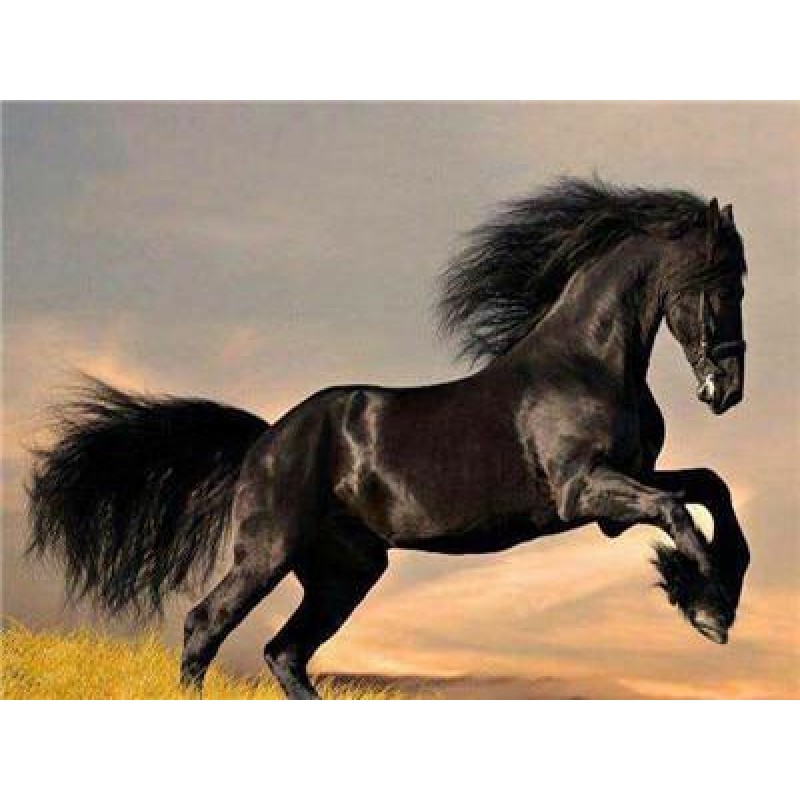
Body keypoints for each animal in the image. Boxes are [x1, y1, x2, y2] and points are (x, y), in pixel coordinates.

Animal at [28, 178, 750, 699]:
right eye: (722, 284)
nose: (729, 390)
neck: (586, 364)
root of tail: (265, 441)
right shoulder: (585, 493)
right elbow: (678, 510)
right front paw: (706, 607)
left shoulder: (622, 489)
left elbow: (711, 489)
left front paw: (712, 592)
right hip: (268, 551)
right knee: (207, 625)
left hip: (346, 570)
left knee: (284, 652)